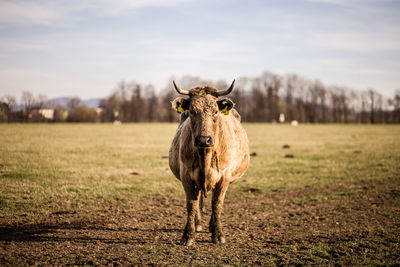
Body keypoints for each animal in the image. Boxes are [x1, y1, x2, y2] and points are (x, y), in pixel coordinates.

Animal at [168, 80, 248, 247]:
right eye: (192, 111)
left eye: (216, 111)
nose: (204, 139)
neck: (205, 155)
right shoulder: (187, 177)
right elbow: (191, 204)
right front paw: (188, 235)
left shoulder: (224, 178)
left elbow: (217, 204)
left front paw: (218, 234)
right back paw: (198, 224)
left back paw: (211, 226)